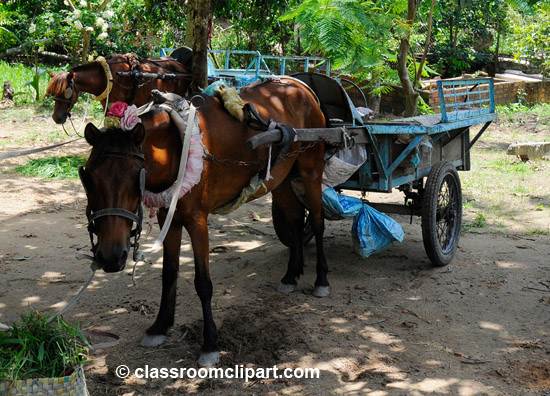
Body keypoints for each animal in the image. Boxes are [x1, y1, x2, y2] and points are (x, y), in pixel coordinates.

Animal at [45, 53, 192, 124]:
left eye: (67, 92)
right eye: (53, 93)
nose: (56, 118)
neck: (107, 77)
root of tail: (182, 67)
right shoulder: (107, 108)